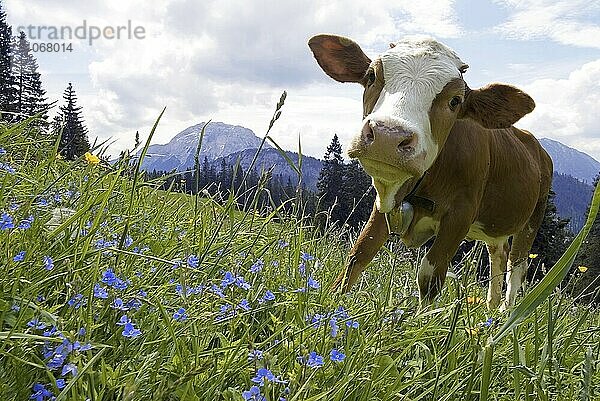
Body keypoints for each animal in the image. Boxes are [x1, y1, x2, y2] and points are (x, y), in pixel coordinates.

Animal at [310, 35, 552, 310]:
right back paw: (491, 308)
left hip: (533, 218)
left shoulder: (461, 213)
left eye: (455, 101)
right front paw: (331, 303)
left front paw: (420, 320)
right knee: (497, 255)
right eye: (371, 76)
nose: (387, 135)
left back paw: (504, 312)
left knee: (516, 267)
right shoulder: (386, 201)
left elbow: (430, 275)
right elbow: (359, 253)